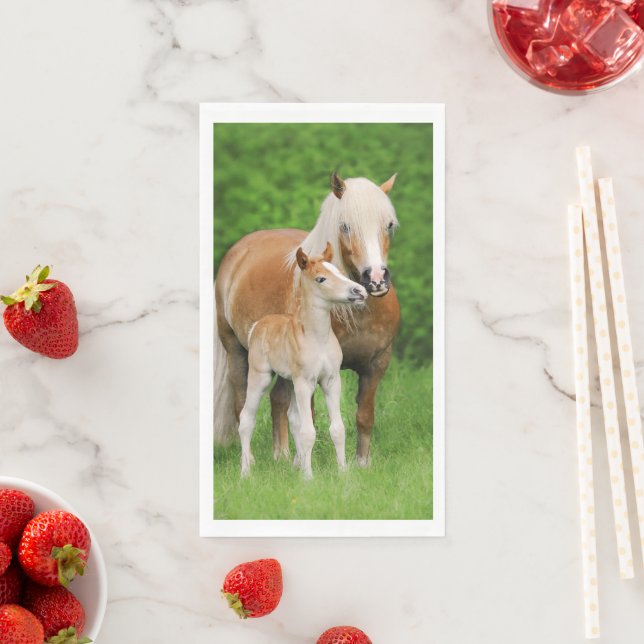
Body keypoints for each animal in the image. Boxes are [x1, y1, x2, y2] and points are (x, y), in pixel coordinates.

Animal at [238, 242, 368, 478]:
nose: (360, 291)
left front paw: (343, 472)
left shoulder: (331, 381)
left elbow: (337, 429)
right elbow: (309, 431)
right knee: (246, 419)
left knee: (293, 419)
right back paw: (246, 472)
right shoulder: (305, 383)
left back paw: (296, 465)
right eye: (321, 279)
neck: (318, 338)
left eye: (339, 272)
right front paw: (308, 478)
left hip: (290, 380)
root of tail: (258, 325)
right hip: (261, 377)